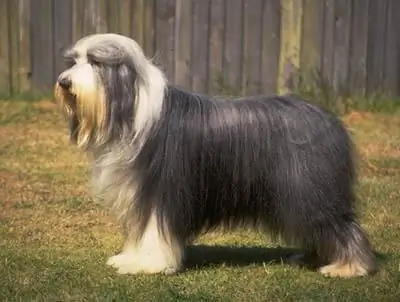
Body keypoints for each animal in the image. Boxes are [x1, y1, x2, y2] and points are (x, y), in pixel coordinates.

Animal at [54, 32, 376, 276]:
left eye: (95, 62)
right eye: (74, 60)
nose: (64, 82)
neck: (131, 108)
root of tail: (330, 119)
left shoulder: (160, 191)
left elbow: (154, 232)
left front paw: (149, 265)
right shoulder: (137, 195)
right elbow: (139, 231)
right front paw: (130, 258)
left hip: (307, 190)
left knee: (340, 226)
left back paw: (348, 267)